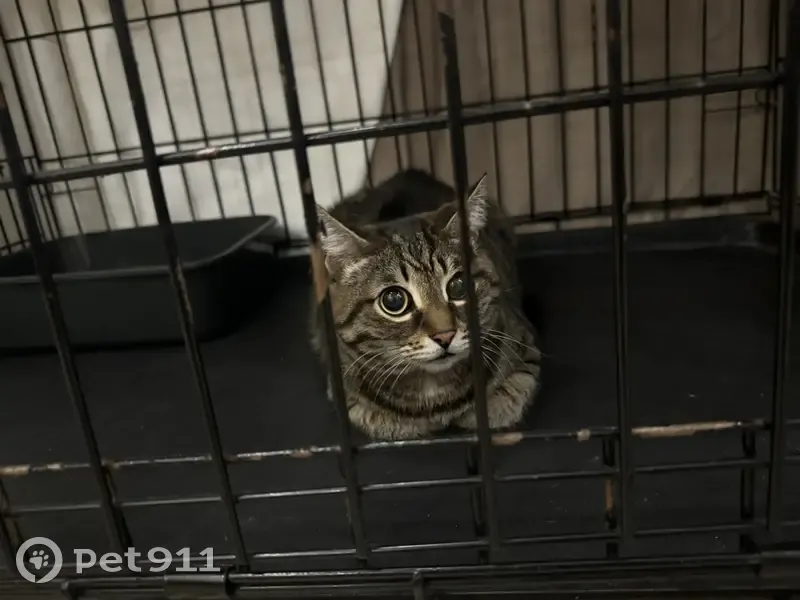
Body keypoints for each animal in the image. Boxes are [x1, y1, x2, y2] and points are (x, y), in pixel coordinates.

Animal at [309, 169, 541, 440]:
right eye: (394, 300)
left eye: (458, 286)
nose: (445, 335)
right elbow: (376, 416)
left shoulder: (525, 347)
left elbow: (511, 393)